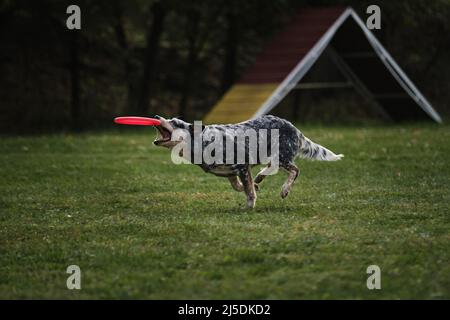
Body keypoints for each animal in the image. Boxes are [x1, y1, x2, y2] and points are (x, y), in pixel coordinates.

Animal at [153, 114, 342, 208]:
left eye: (174, 122)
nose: (156, 115)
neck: (203, 141)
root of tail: (295, 128)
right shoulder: (230, 172)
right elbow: (239, 186)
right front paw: (254, 185)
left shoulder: (242, 166)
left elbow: (248, 191)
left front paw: (250, 205)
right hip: (273, 156)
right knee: (271, 168)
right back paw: (260, 177)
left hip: (282, 157)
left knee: (295, 170)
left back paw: (284, 190)